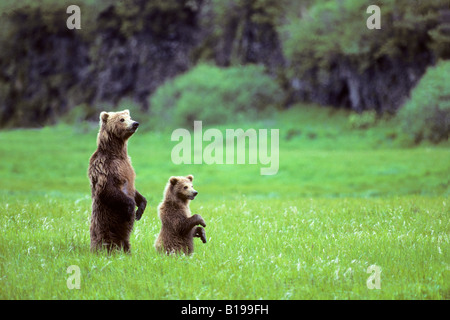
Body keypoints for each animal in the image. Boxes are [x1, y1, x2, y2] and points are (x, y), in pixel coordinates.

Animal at [86, 110, 146, 252]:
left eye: (130, 117)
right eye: (121, 119)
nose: (135, 123)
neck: (117, 152)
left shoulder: (127, 166)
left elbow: (134, 190)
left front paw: (140, 210)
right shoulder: (105, 167)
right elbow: (107, 189)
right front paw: (131, 209)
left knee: (125, 241)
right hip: (105, 223)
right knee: (105, 238)